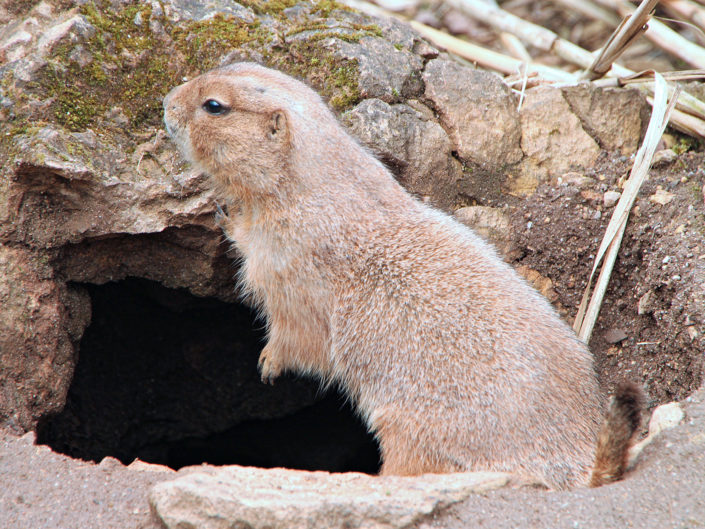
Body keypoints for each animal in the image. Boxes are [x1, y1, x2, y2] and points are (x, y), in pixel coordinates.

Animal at [163, 62, 643, 490]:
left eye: (214, 105)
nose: (166, 102)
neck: (308, 185)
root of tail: (578, 457)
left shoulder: (288, 265)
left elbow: (300, 333)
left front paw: (267, 363)